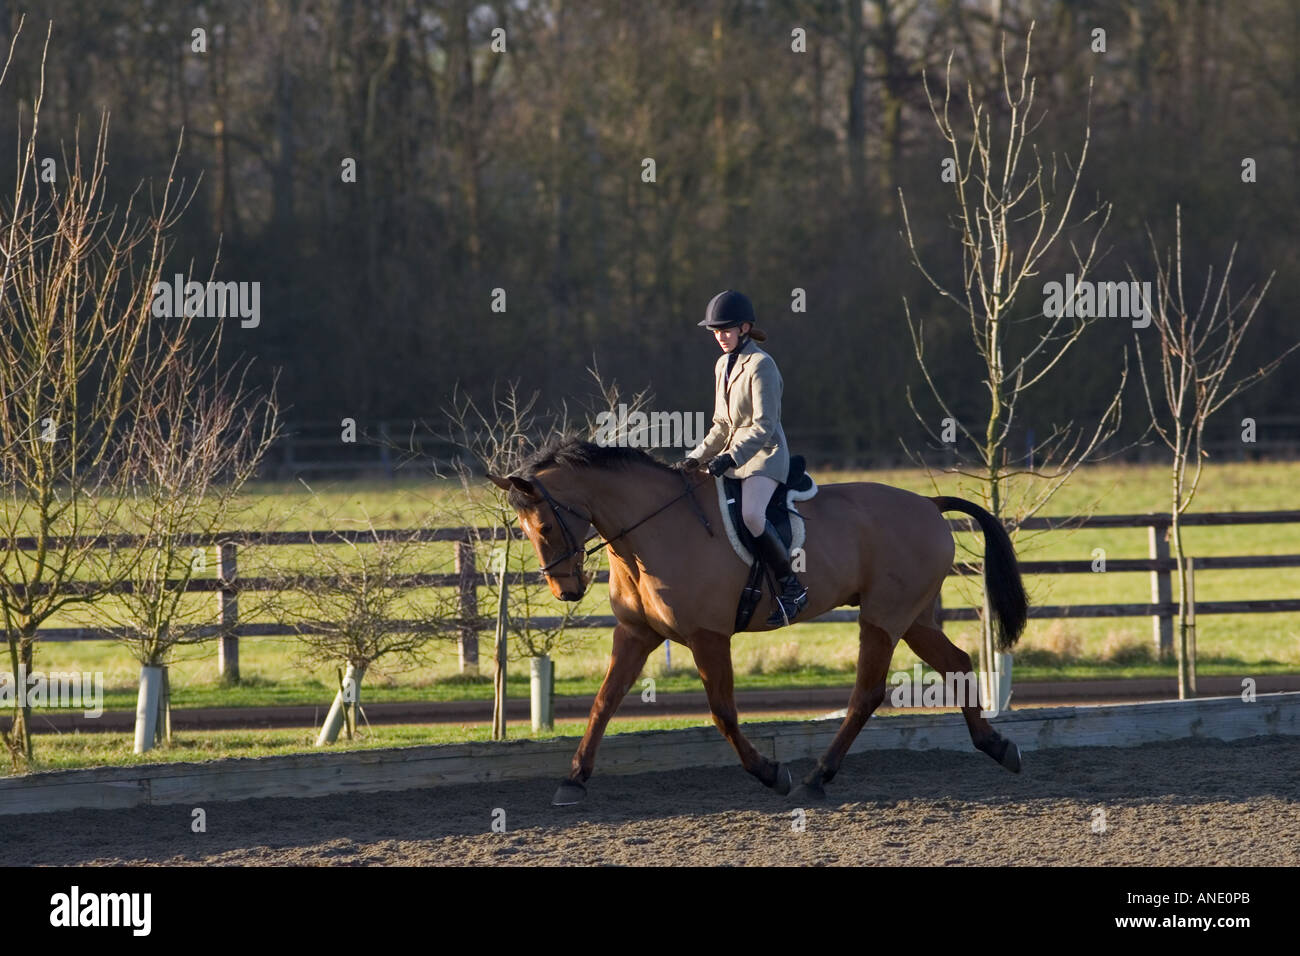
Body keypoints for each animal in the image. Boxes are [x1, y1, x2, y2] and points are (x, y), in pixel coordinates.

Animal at [488, 437, 1028, 806]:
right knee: (956, 663)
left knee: (867, 693)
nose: (566, 591)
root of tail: (928, 504)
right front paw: (573, 779)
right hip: (912, 618)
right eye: (524, 530)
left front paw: (771, 772)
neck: (651, 532)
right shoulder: (635, 635)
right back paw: (996, 746)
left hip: (883, 617)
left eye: (543, 525)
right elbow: (603, 703)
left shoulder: (708, 636)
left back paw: (816, 778)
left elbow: (723, 712)